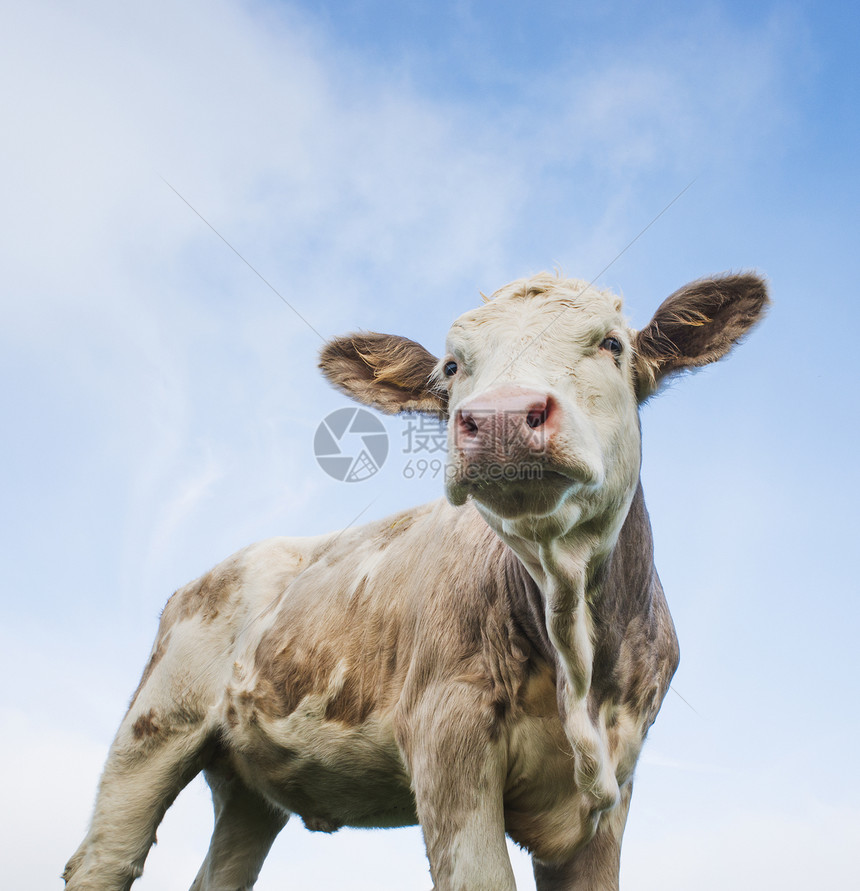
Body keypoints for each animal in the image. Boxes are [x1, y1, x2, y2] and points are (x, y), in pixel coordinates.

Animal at [65, 272, 764, 891]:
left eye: (612, 345)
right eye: (452, 367)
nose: (502, 417)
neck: (575, 652)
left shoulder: (616, 778)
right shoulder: (446, 737)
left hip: (246, 787)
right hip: (154, 725)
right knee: (103, 859)